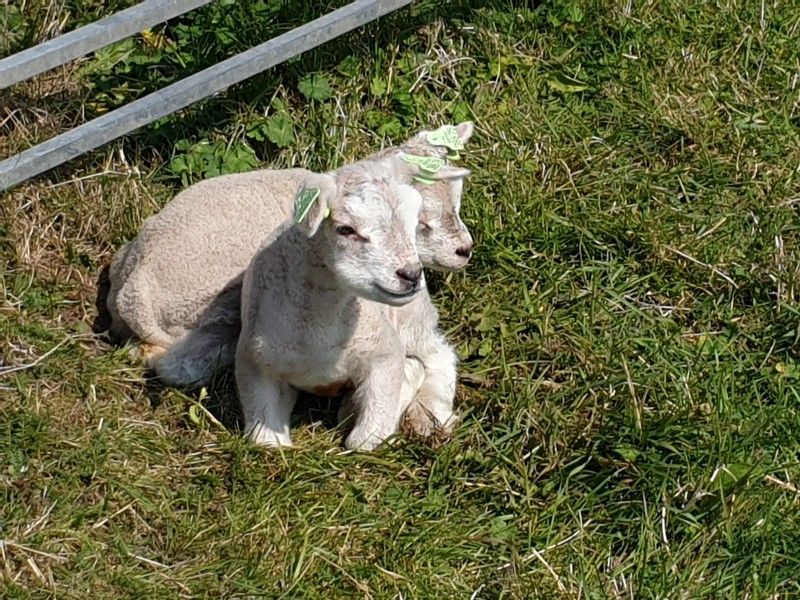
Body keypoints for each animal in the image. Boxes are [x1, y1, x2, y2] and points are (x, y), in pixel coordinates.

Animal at [237, 159, 446, 449]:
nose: (411, 275)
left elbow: (366, 438)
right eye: (346, 229)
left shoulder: (385, 351)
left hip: (413, 319)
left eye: (413, 224)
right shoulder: (255, 362)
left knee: (437, 356)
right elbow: (266, 441)